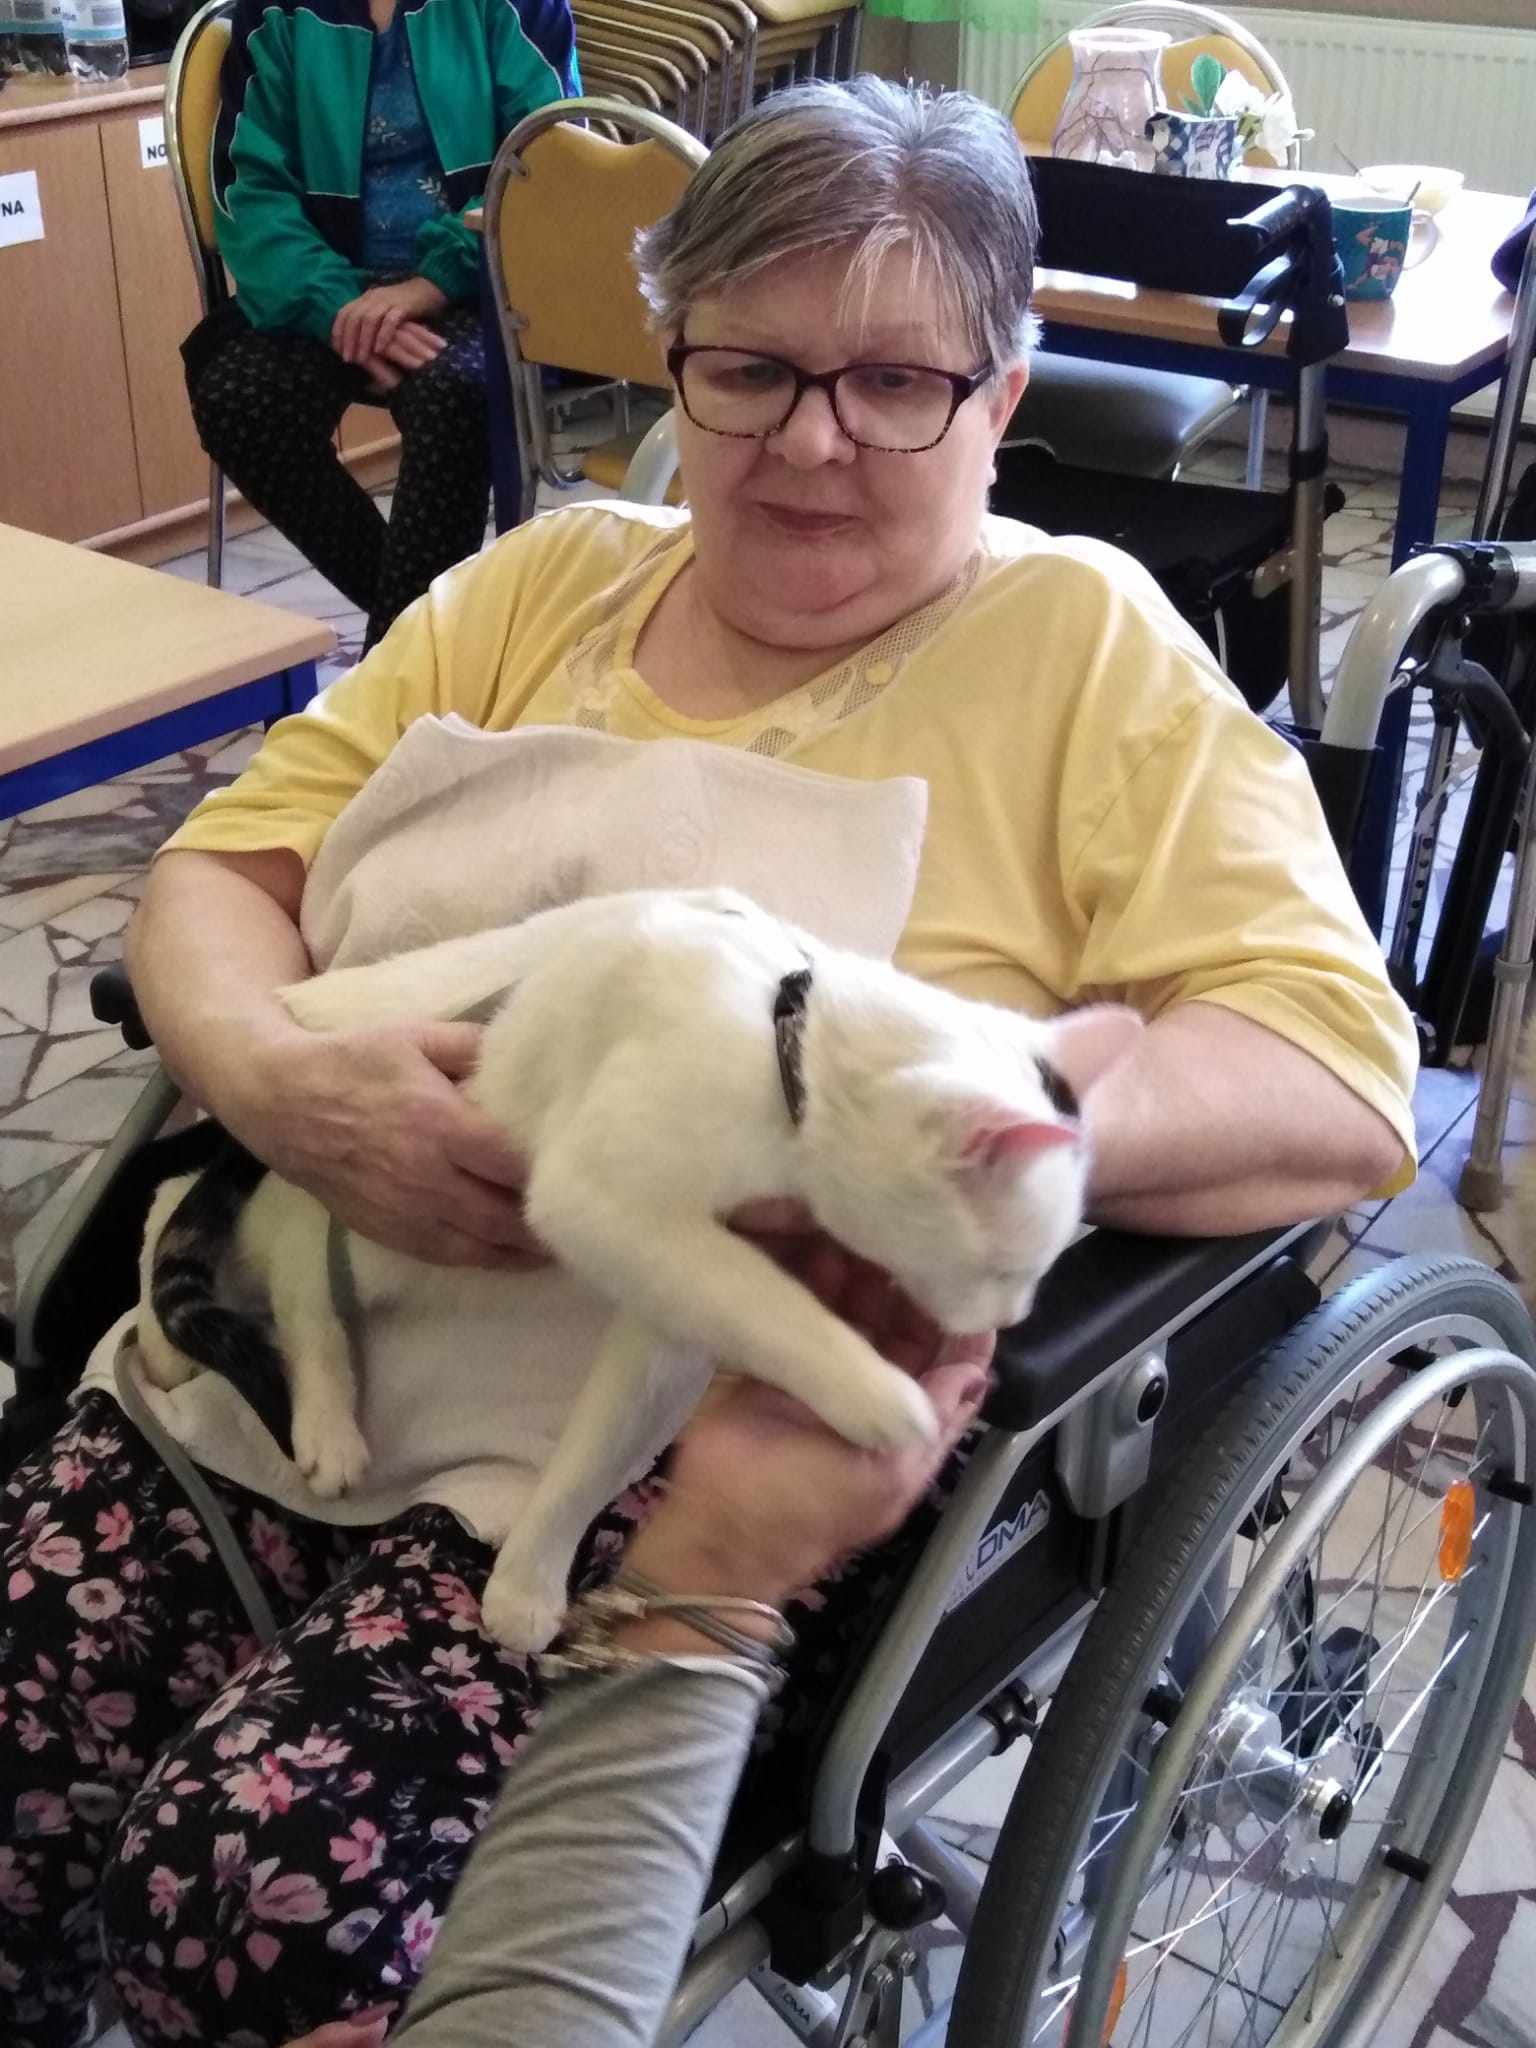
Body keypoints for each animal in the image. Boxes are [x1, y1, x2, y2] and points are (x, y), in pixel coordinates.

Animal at [137, 886, 1140, 1652]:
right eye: (1006, 1265)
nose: (1011, 1319)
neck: (785, 1037)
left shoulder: (665, 1304)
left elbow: (598, 1447)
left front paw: (529, 1579)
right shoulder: (601, 1198)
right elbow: (769, 1305)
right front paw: (877, 1396)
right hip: (370, 1198)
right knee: (267, 1243)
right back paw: (306, 1409)